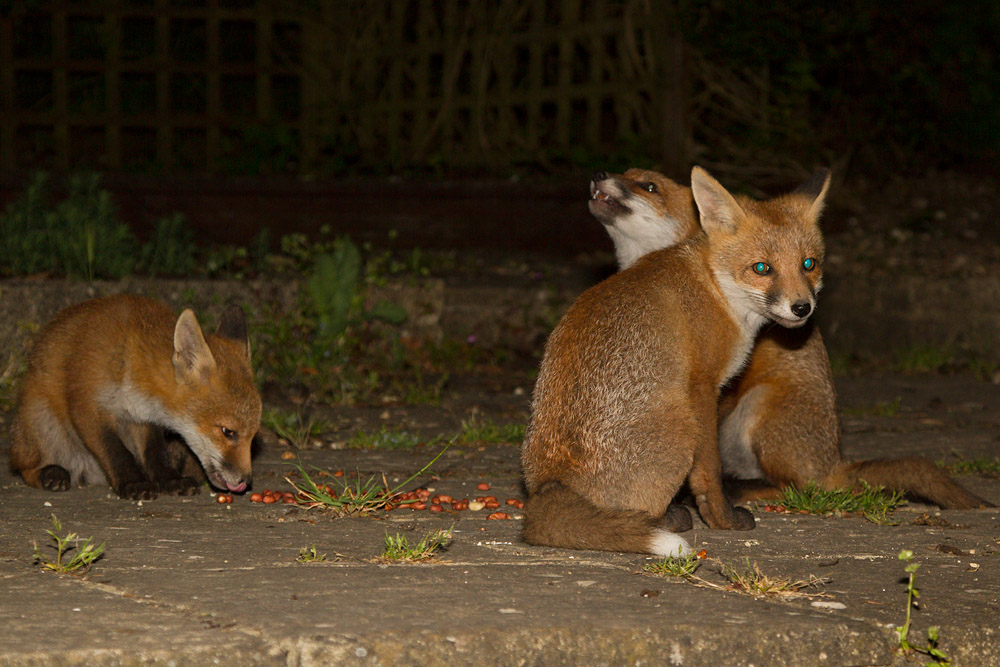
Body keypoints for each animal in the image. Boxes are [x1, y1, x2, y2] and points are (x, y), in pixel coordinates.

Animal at [9, 294, 262, 500]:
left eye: (252, 437)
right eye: (228, 432)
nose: (246, 482)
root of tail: (85, 472)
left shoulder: (143, 418)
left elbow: (156, 453)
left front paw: (169, 479)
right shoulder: (86, 404)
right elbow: (116, 452)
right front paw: (133, 482)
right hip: (41, 420)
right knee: (24, 466)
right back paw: (50, 473)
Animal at [521, 166, 830, 556]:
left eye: (809, 264)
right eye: (762, 268)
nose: (802, 308)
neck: (715, 285)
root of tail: (550, 486)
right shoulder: (703, 387)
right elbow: (710, 470)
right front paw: (722, 519)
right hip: (683, 423)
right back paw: (670, 517)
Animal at [589, 167, 991, 510]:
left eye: (649, 186)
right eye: (626, 173)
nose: (599, 174)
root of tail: (834, 460)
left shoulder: (728, 379)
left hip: (759, 408)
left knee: (802, 487)